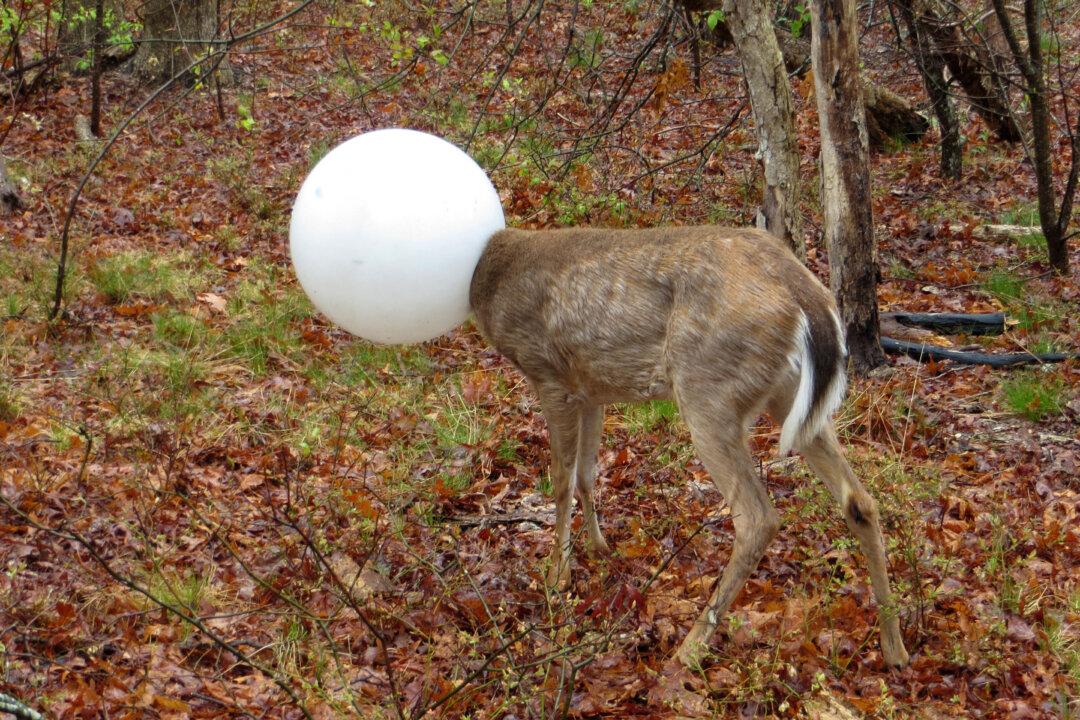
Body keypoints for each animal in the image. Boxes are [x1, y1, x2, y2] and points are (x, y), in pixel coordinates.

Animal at [469, 225, 911, 668]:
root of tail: (807, 293)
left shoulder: (548, 374)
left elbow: (561, 481)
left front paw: (556, 577)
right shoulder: (590, 389)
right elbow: (586, 474)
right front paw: (599, 548)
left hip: (708, 388)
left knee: (758, 518)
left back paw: (689, 648)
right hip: (788, 397)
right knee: (859, 500)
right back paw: (894, 646)